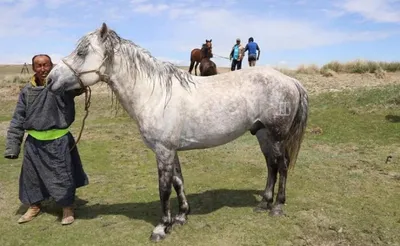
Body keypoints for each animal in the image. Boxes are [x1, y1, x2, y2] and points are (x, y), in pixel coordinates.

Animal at [47, 23, 310, 242]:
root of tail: (289, 80)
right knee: (271, 166)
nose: (49, 79)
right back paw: (264, 203)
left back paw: (277, 207)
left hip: (277, 136)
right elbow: (178, 181)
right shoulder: (171, 150)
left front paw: (162, 227)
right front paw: (182, 216)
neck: (154, 94)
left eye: (82, 52)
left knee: (282, 166)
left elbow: (164, 188)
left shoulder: (163, 151)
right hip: (264, 135)